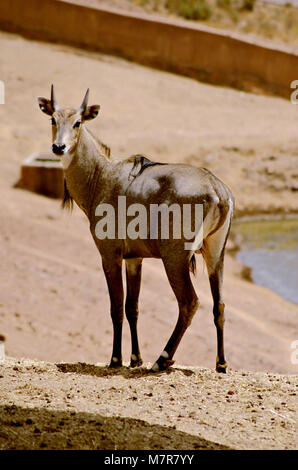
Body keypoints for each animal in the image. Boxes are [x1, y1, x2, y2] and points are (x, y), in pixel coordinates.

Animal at [37, 86, 234, 372]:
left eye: (78, 122)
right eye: (53, 119)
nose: (59, 147)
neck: (101, 176)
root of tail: (217, 190)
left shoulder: (109, 254)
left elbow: (116, 306)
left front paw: (116, 359)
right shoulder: (134, 258)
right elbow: (133, 307)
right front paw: (135, 358)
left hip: (175, 258)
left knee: (189, 302)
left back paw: (162, 359)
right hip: (216, 253)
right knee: (219, 304)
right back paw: (220, 363)